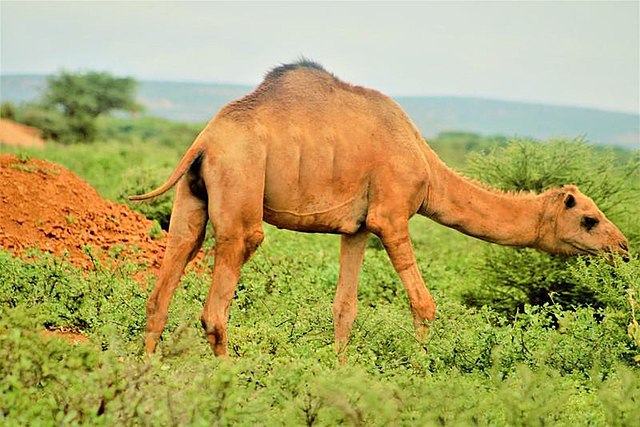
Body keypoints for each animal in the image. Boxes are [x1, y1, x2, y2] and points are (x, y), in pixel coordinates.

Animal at [131, 60, 632, 362]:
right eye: (590, 219)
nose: (623, 247)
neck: (427, 168)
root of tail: (204, 141)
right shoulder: (390, 216)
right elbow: (424, 304)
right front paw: (421, 370)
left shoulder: (355, 227)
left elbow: (345, 307)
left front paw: (338, 372)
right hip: (241, 186)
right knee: (219, 298)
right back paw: (228, 376)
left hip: (192, 196)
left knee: (170, 272)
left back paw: (148, 369)